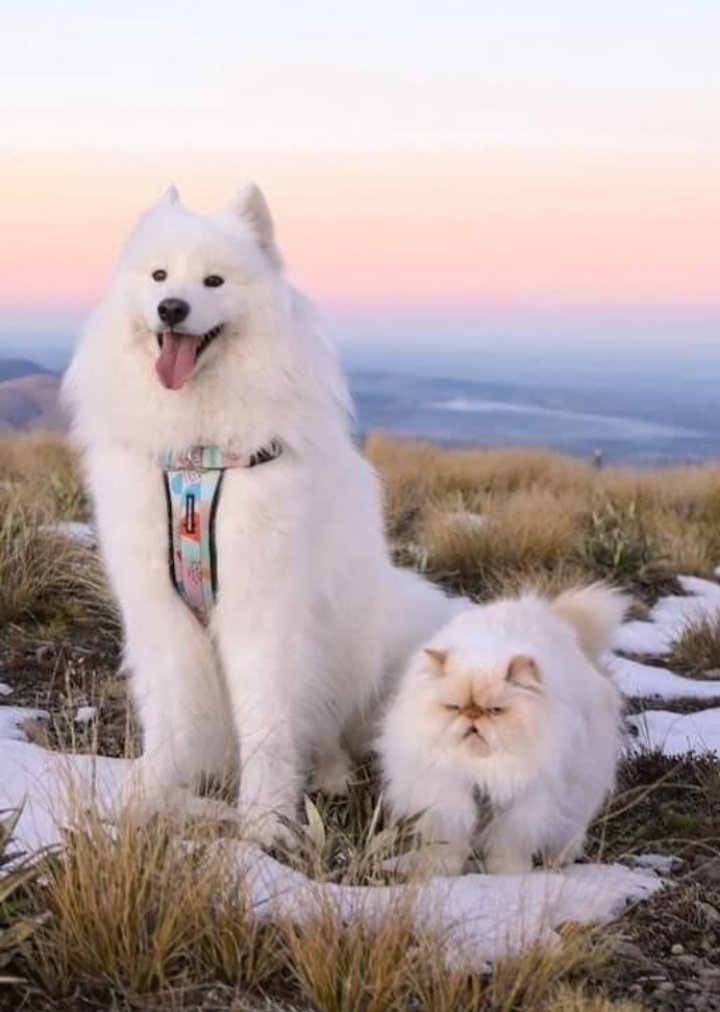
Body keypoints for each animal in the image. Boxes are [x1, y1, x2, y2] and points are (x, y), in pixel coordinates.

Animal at [62, 183, 465, 842]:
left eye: (214, 280)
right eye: (159, 275)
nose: (171, 308)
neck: (200, 460)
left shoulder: (262, 609)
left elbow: (268, 721)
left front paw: (265, 822)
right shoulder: (160, 610)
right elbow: (171, 717)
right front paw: (148, 794)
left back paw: (330, 774)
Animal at [376, 584, 627, 876]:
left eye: (495, 710)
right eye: (454, 707)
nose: (473, 715)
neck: (483, 771)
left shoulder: (521, 810)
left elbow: (508, 850)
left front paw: (508, 876)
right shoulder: (448, 804)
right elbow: (447, 848)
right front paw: (439, 872)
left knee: (570, 831)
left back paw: (558, 861)